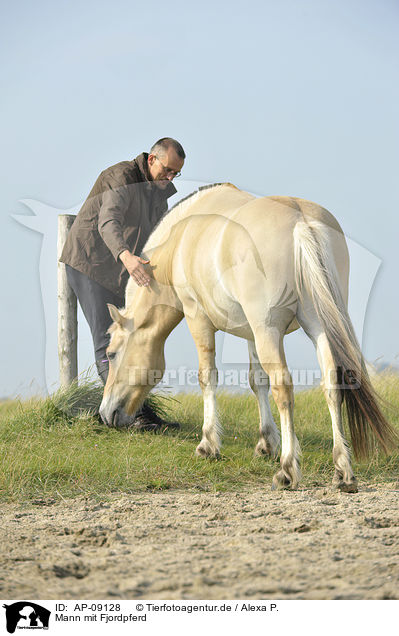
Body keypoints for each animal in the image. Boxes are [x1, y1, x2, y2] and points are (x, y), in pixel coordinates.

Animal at [99, 183, 396, 492]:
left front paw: (208, 445)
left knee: (284, 389)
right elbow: (258, 381)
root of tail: (301, 222)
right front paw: (266, 444)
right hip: (318, 328)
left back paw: (287, 470)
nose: (105, 414)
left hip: (270, 331)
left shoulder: (199, 319)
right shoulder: (252, 333)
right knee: (331, 384)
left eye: (111, 353)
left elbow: (208, 377)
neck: (181, 243)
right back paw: (343, 471)